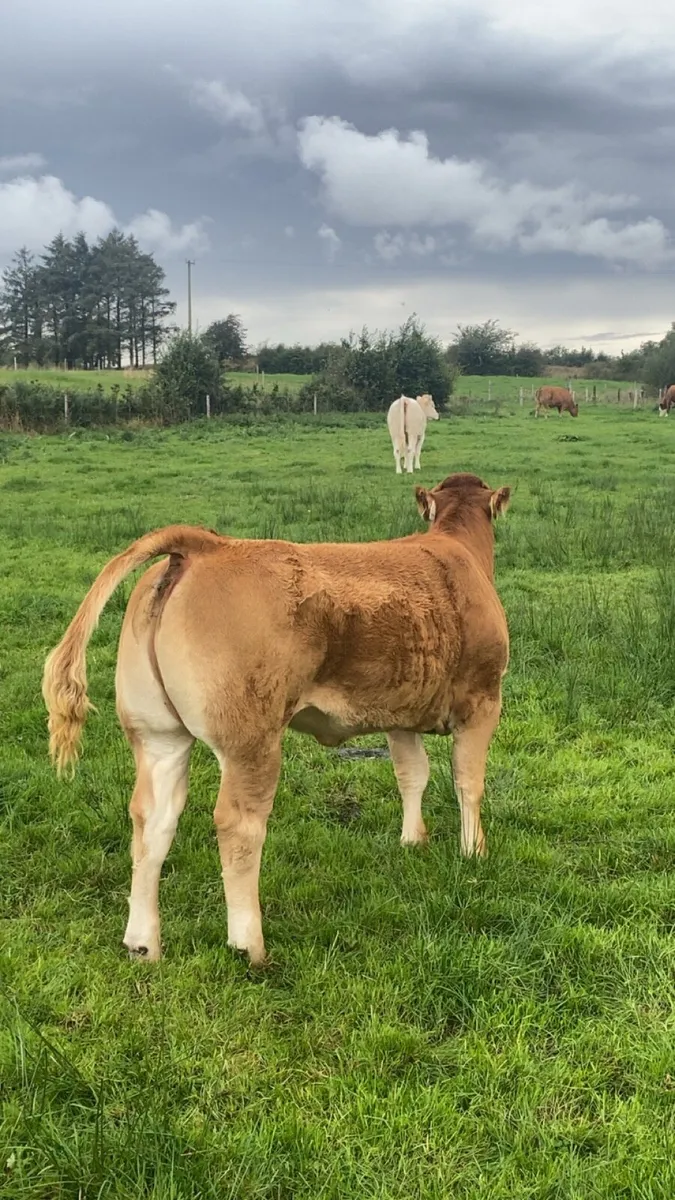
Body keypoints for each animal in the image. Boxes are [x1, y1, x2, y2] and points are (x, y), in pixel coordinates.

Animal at [42, 473, 511, 966]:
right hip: (252, 739)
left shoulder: (399, 709)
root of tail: (207, 545)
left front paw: (412, 841)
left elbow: (411, 774)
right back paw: (249, 945)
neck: (457, 551)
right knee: (239, 825)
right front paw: (474, 851)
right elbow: (468, 780)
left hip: (157, 734)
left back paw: (142, 942)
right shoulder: (484, 698)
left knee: (152, 818)